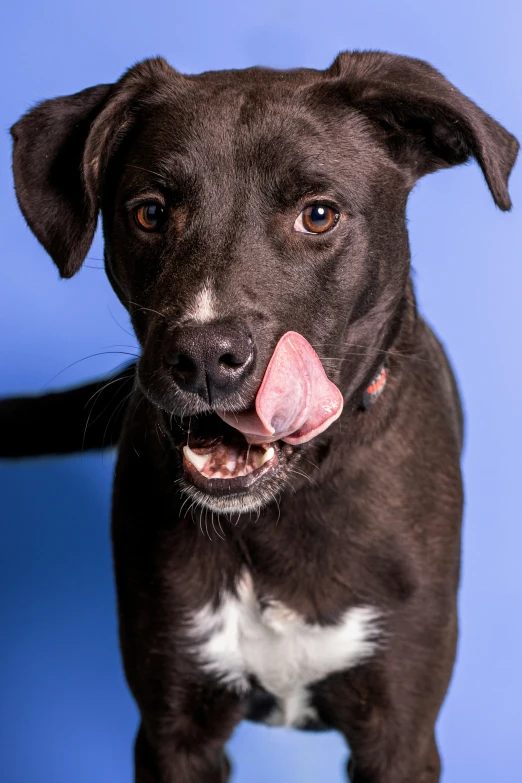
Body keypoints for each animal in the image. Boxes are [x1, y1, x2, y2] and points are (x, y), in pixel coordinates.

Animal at [2, 52, 516, 780]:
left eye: (318, 215)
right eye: (150, 213)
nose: (204, 358)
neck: (280, 510)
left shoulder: (401, 733)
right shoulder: (173, 728)